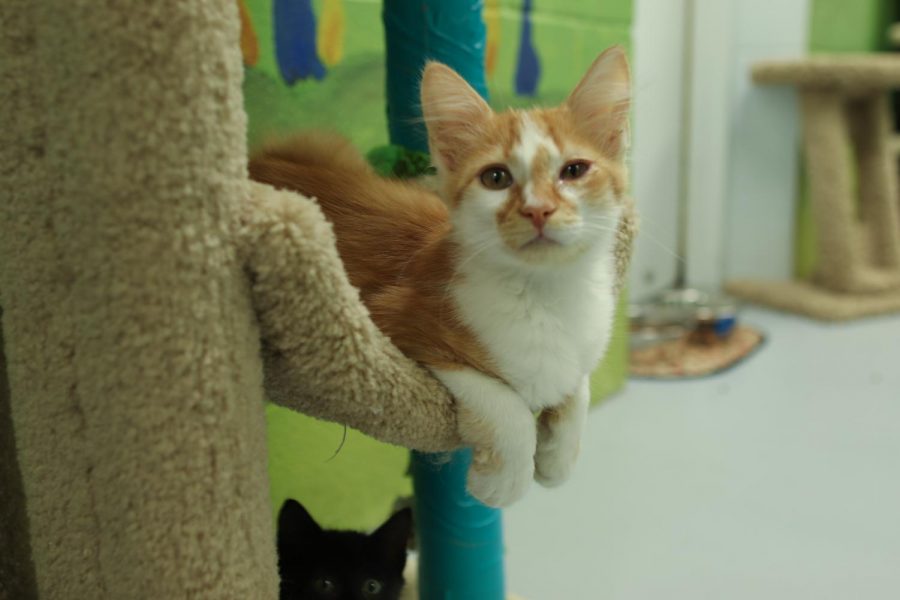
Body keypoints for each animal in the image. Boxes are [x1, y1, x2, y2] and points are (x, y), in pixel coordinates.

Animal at [251, 47, 632, 506]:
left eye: (574, 170)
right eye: (496, 177)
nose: (538, 210)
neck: (545, 294)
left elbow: (579, 380)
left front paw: (559, 457)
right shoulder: (393, 319)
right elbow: (504, 401)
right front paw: (504, 481)